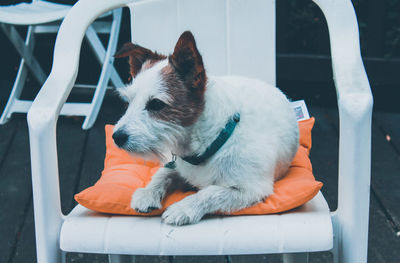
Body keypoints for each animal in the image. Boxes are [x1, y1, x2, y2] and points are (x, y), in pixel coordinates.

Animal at [112, 30, 300, 225]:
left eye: (156, 104)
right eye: (128, 101)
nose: (116, 137)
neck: (214, 138)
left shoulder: (251, 189)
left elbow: (210, 192)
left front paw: (183, 208)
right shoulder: (178, 166)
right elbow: (163, 172)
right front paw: (147, 193)